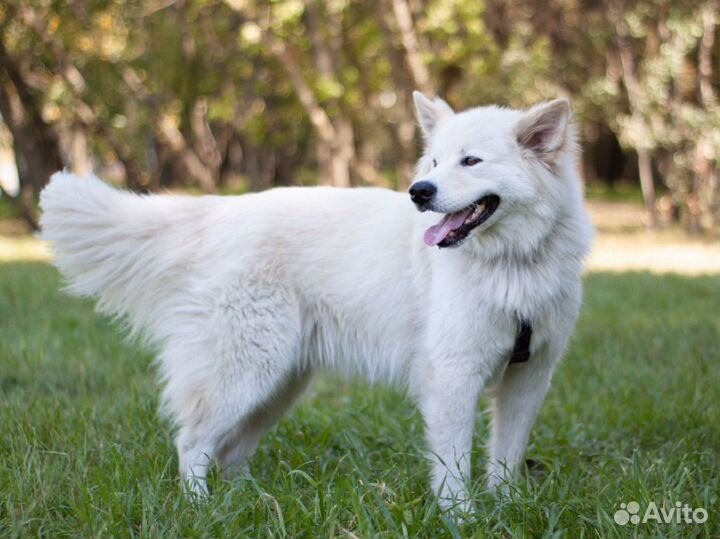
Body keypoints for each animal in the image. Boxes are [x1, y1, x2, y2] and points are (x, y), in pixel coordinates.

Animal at [38, 93, 592, 510]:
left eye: (470, 161)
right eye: (435, 162)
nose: (418, 191)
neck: (511, 262)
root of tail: (217, 214)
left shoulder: (528, 377)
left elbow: (506, 456)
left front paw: (507, 509)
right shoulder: (453, 377)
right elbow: (453, 463)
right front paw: (460, 517)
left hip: (278, 384)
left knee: (230, 453)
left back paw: (247, 504)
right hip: (244, 375)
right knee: (192, 443)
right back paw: (199, 508)